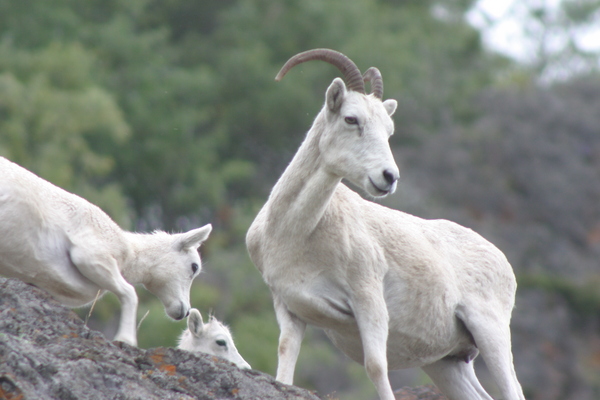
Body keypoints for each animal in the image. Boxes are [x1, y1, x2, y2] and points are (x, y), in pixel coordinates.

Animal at [0, 156, 213, 346]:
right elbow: (129, 293)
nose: (185, 311)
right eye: (194, 267)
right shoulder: (92, 257)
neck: (130, 254)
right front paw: (126, 340)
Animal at [245, 47, 524, 400]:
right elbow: (285, 357)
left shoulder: (368, 300)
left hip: (491, 333)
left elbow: (376, 367)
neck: (294, 235)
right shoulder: (290, 307)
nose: (389, 177)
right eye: (351, 119)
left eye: (389, 130)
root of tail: (502, 260)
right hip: (445, 363)